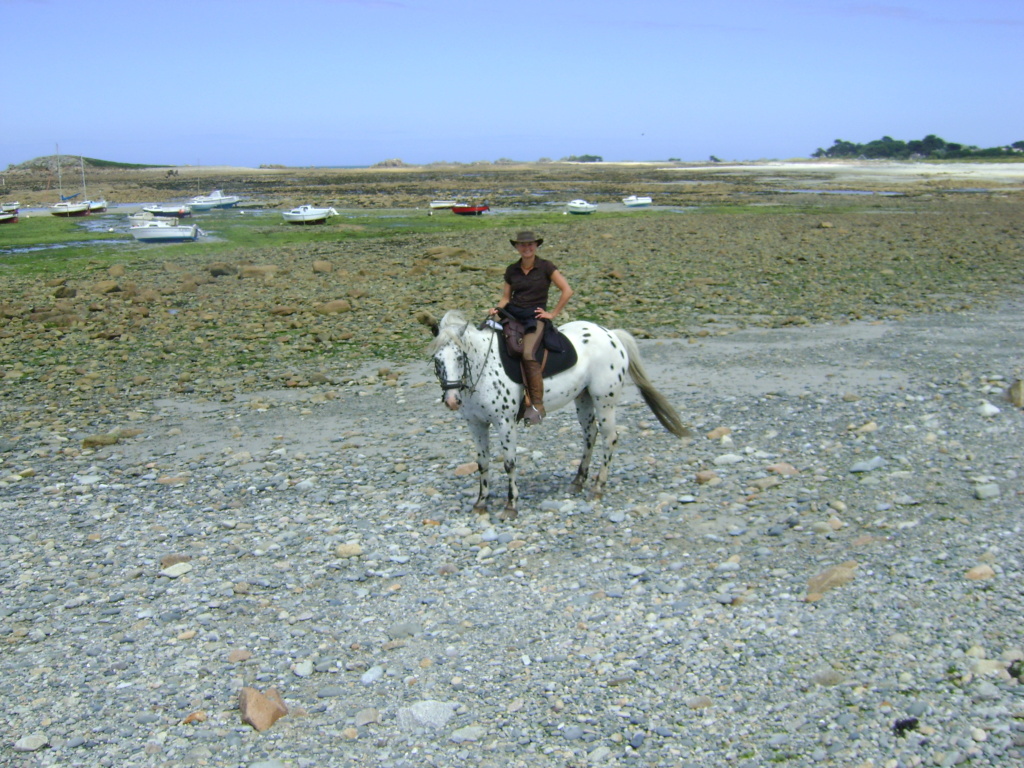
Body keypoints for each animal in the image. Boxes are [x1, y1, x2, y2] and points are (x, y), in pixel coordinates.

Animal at [423, 309, 688, 520]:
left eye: (460, 357)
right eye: (437, 359)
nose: (452, 400)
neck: (484, 367)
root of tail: (610, 334)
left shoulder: (505, 423)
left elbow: (509, 463)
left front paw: (511, 505)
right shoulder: (476, 424)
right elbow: (482, 463)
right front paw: (481, 503)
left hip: (605, 401)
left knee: (609, 438)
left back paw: (598, 486)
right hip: (583, 399)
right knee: (590, 435)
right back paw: (578, 481)